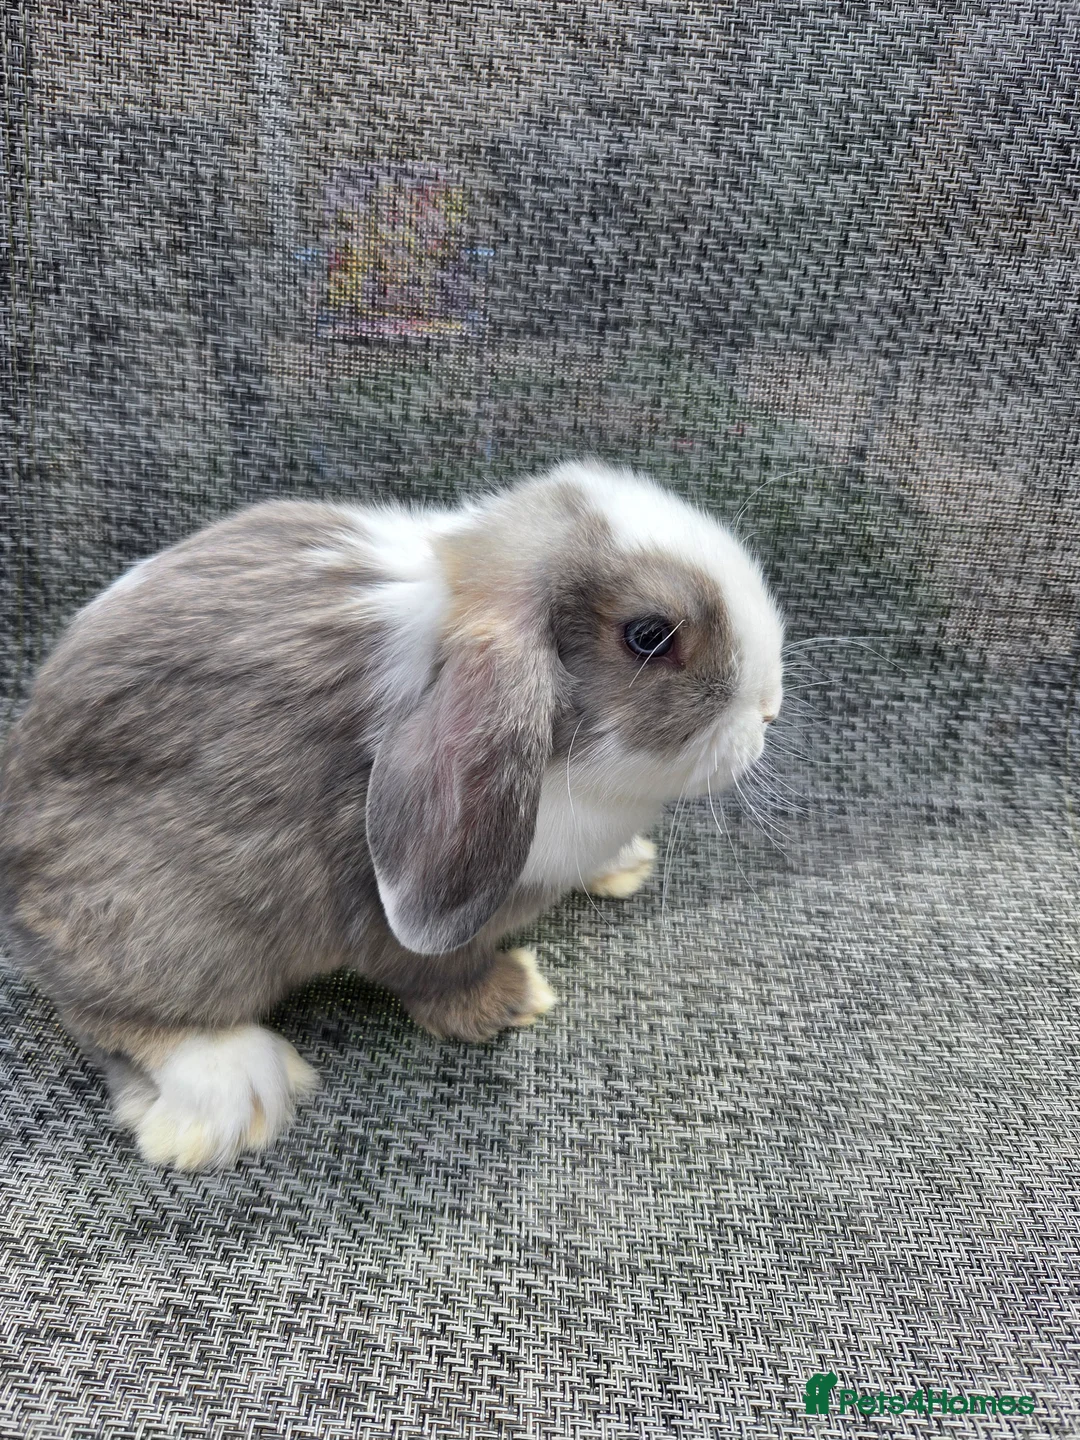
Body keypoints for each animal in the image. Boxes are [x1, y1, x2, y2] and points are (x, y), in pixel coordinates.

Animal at [0, 461, 784, 1169]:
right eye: (649, 635)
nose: (770, 708)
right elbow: (435, 976)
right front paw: (515, 994)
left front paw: (627, 864)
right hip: (169, 927)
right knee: (113, 1013)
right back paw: (236, 1094)